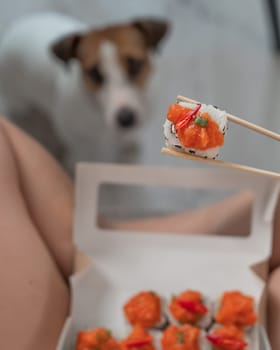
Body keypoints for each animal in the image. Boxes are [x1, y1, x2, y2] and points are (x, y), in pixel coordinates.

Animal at [0, 12, 168, 161]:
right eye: (94, 73)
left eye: (135, 64)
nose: (126, 119)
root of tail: (12, 30)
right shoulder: (79, 144)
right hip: (18, 98)